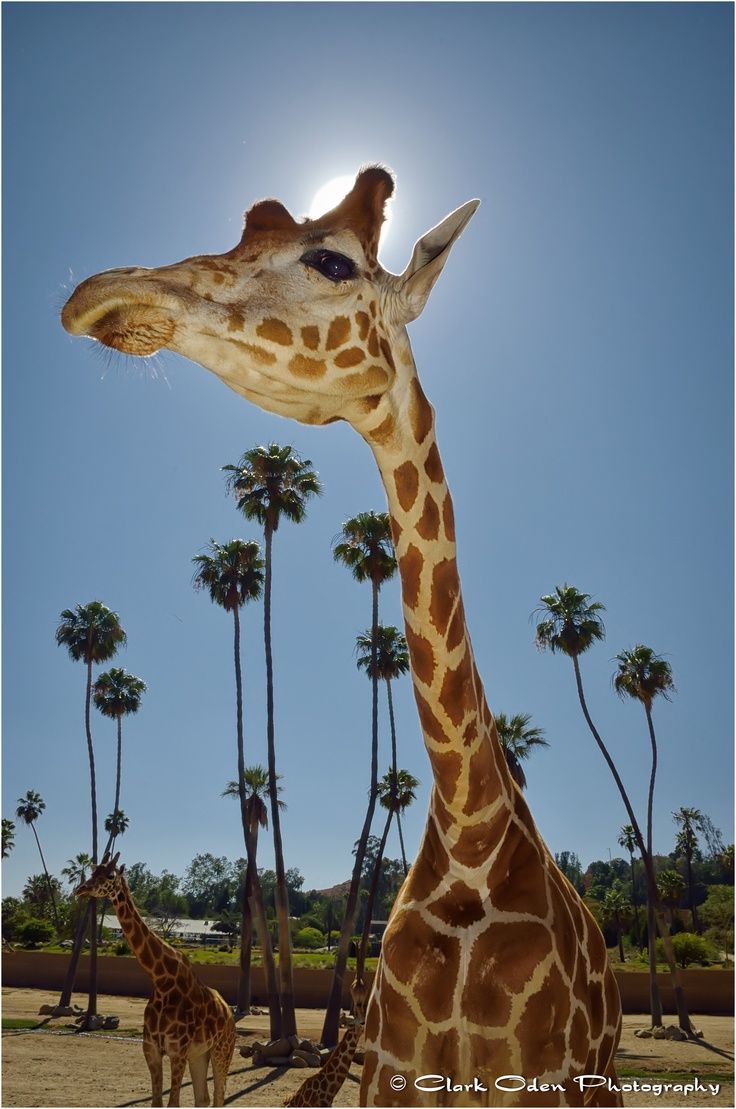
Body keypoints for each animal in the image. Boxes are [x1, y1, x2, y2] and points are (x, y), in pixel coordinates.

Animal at [75, 854, 235, 1107]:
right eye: (92, 871)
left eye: (109, 875)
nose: (80, 889)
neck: (161, 981)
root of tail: (229, 1013)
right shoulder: (151, 1050)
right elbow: (157, 1102)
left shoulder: (177, 1052)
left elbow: (173, 1103)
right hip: (200, 1054)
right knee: (203, 1098)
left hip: (222, 1049)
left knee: (220, 1095)